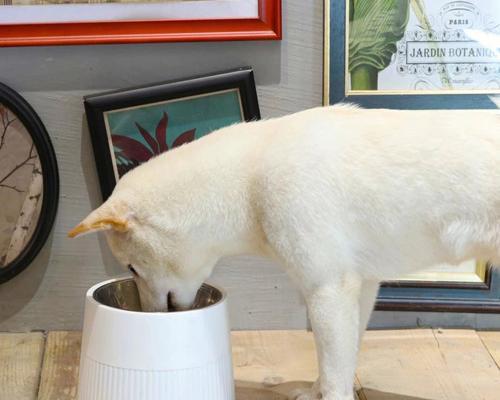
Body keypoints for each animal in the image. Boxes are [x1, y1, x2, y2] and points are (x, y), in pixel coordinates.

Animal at [69, 104, 500, 400]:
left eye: (131, 268)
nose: (149, 315)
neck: (249, 184)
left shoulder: (328, 289)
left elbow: (335, 374)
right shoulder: (358, 288)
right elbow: (336, 364)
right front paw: (314, 391)